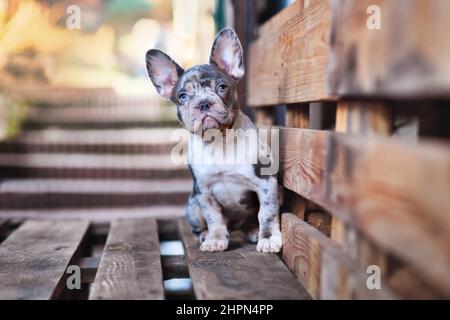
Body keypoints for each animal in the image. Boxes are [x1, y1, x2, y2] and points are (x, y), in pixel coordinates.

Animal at [146, 27, 280, 252]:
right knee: (201, 225)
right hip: (192, 204)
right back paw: (205, 235)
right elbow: (214, 218)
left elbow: (267, 214)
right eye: (182, 96)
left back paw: (254, 231)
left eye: (222, 88)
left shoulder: (265, 183)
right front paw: (216, 238)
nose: (203, 103)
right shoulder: (203, 192)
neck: (219, 141)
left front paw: (268, 238)